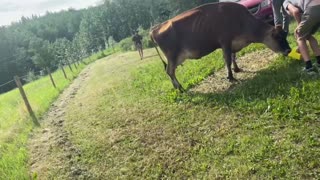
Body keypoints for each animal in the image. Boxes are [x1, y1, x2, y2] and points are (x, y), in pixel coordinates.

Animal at [150, 1, 290, 91]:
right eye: (277, 37)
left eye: (285, 35)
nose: (288, 50)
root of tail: (155, 29)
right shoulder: (225, 41)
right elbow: (227, 60)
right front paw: (230, 77)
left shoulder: (233, 42)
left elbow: (234, 56)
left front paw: (237, 69)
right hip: (173, 56)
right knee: (169, 71)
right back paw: (180, 88)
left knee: (169, 72)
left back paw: (176, 87)